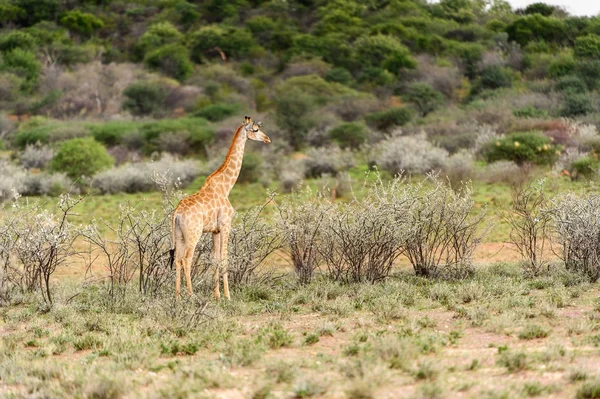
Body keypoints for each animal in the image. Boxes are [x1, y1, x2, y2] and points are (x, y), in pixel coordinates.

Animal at [169, 115, 272, 300]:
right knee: (187, 259)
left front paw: (216, 295)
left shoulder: (215, 231)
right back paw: (191, 295)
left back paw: (178, 296)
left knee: (178, 259)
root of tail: (177, 214)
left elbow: (215, 259)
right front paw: (228, 295)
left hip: (179, 235)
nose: (268, 139)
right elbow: (224, 258)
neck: (227, 187)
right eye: (255, 129)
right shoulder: (225, 225)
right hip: (193, 234)